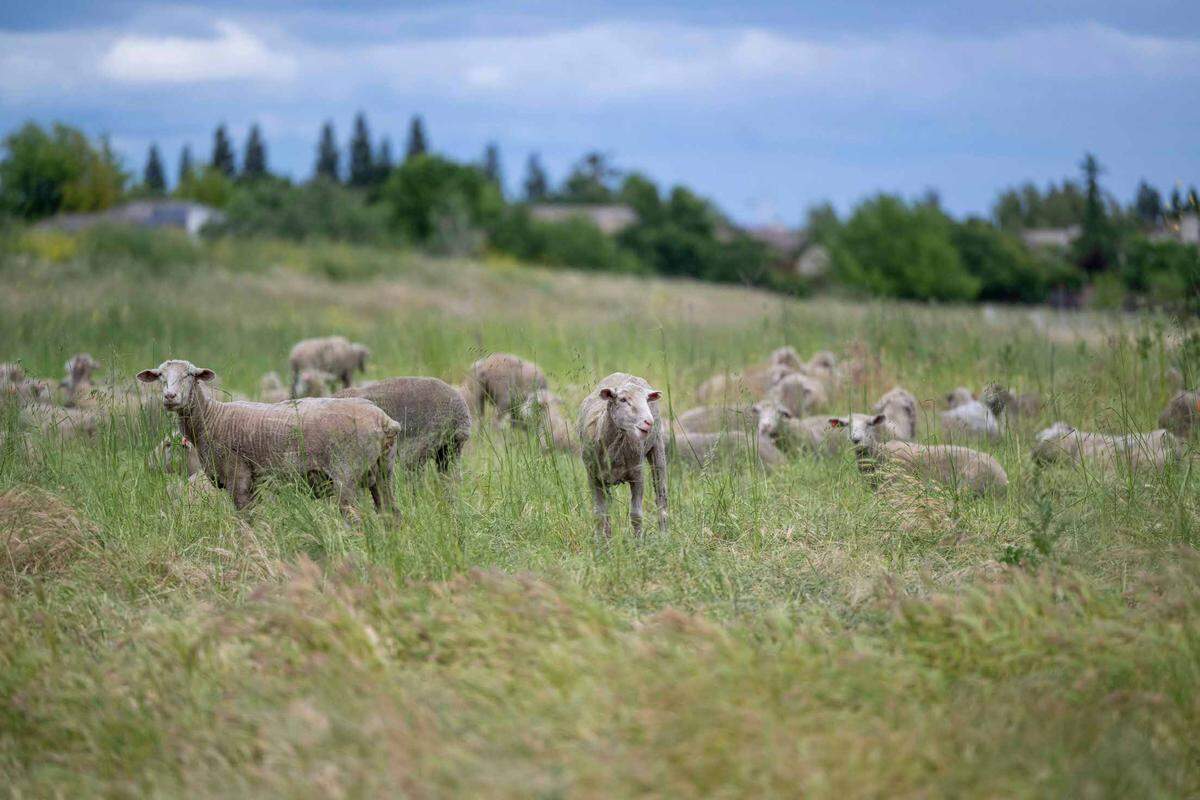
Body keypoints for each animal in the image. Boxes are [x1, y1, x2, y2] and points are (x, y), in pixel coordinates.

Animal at [137, 360, 399, 514]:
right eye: (160, 376)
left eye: (190, 375)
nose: (170, 397)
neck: (212, 418)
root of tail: (384, 420)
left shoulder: (238, 476)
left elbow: (245, 520)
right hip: (383, 471)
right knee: (391, 514)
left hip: (347, 474)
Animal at [578, 373, 668, 538]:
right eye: (623, 400)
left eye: (646, 400)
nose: (649, 422)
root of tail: (625, 374)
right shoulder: (593, 477)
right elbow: (600, 515)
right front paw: (601, 542)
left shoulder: (637, 474)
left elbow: (636, 515)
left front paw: (639, 541)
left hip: (657, 446)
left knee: (661, 497)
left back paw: (665, 536)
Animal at [834, 412, 1008, 496]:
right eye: (847, 425)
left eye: (869, 424)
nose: (856, 440)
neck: (881, 453)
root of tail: (1003, 476)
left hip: (970, 484)